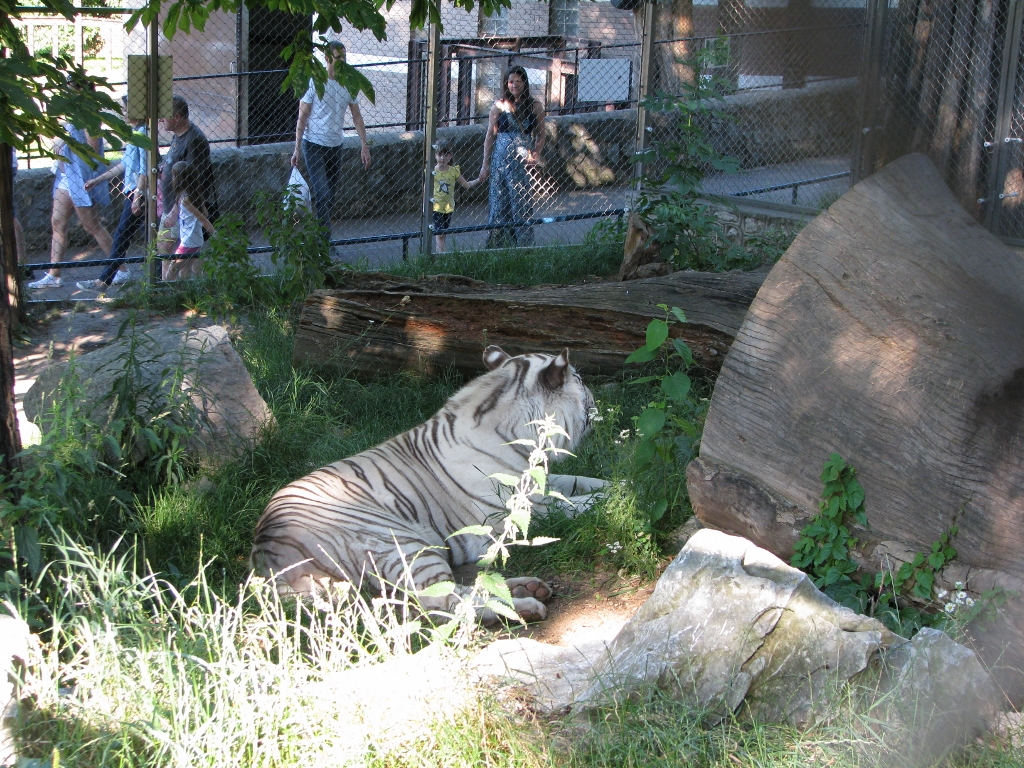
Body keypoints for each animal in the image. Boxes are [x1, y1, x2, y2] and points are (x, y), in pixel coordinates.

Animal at [250, 345, 608, 623]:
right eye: (580, 382)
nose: (597, 401)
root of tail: (268, 559)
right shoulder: (517, 511)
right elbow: (579, 504)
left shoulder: (542, 482)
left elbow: (587, 482)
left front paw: (616, 483)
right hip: (403, 546)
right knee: (438, 603)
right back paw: (524, 606)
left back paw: (527, 588)